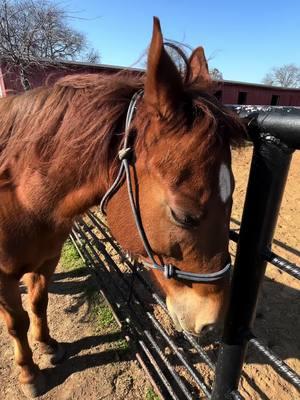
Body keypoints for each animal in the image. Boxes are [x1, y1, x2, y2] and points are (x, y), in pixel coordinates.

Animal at [0, 16, 244, 396]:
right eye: (183, 215)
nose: (213, 323)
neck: (24, 199)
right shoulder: (3, 277)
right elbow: (16, 323)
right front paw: (28, 373)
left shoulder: (48, 259)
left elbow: (39, 303)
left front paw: (48, 346)